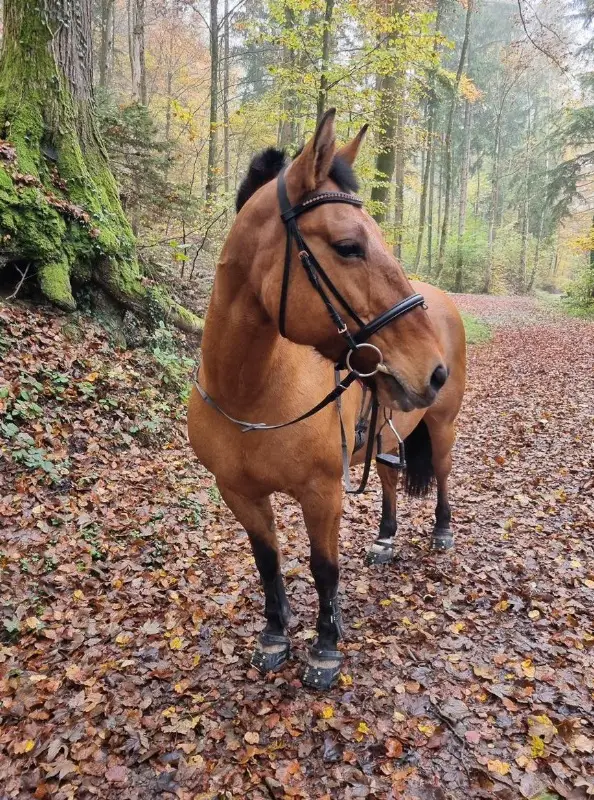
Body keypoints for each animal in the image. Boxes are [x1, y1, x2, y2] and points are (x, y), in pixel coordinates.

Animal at [187, 109, 466, 689]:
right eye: (347, 246)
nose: (433, 370)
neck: (250, 394)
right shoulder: (238, 493)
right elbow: (267, 561)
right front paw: (275, 634)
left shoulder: (322, 493)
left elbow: (323, 569)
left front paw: (326, 646)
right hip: (387, 434)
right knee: (389, 480)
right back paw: (385, 541)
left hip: (443, 427)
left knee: (443, 474)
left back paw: (442, 532)